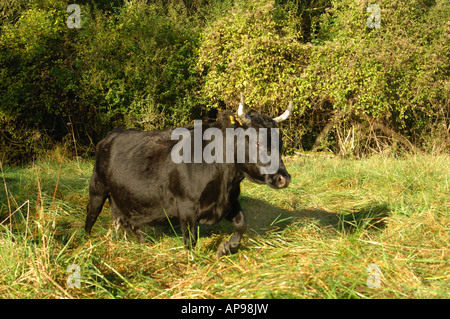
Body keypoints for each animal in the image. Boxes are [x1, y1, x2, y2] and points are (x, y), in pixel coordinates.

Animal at [85, 96, 294, 258]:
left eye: (280, 142)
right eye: (257, 142)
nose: (284, 178)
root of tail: (114, 133)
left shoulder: (230, 201)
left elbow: (242, 224)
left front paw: (226, 248)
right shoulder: (185, 205)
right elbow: (190, 240)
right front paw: (192, 262)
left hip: (126, 200)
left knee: (127, 223)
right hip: (97, 188)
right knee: (91, 215)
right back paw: (86, 244)